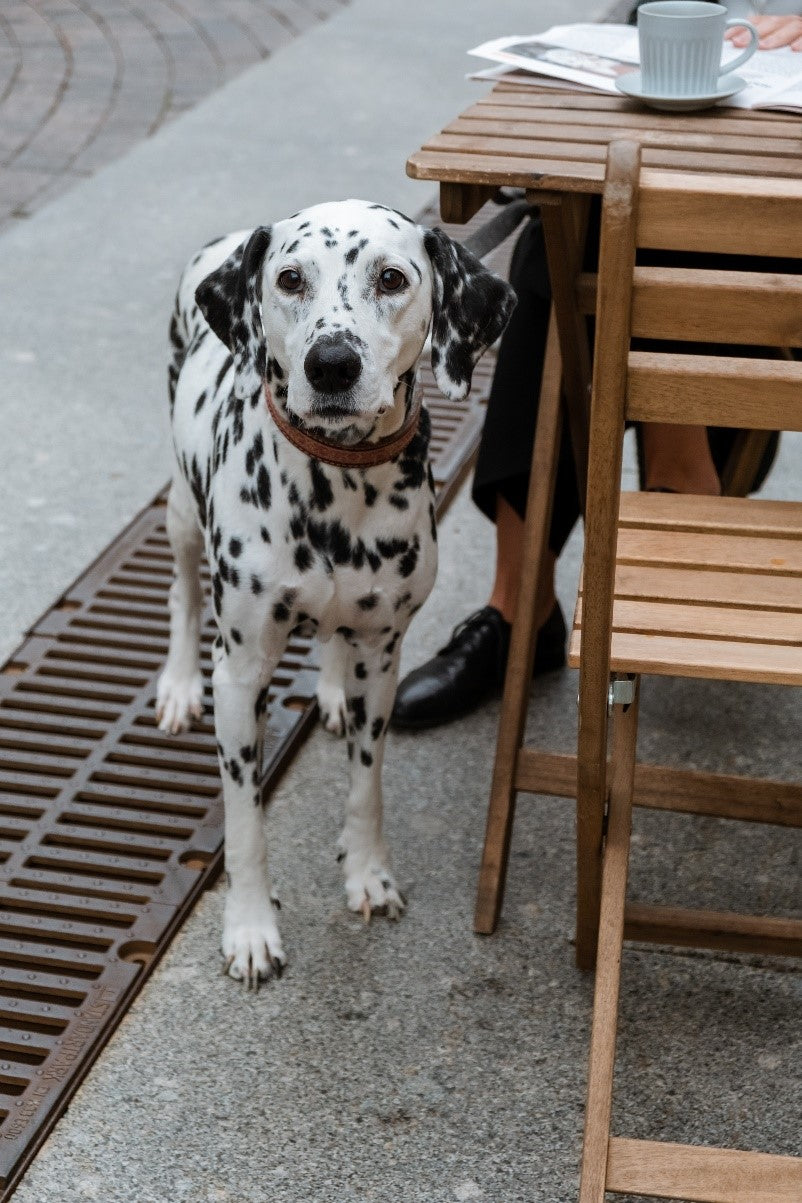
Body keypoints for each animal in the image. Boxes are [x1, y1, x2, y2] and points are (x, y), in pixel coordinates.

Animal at [156, 197, 514, 986]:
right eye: (290, 278)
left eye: (392, 278)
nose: (331, 364)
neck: (337, 486)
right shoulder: (242, 675)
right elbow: (246, 821)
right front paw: (250, 926)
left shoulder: (383, 658)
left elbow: (366, 784)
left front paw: (368, 874)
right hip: (181, 511)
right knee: (181, 594)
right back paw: (176, 684)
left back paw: (325, 688)